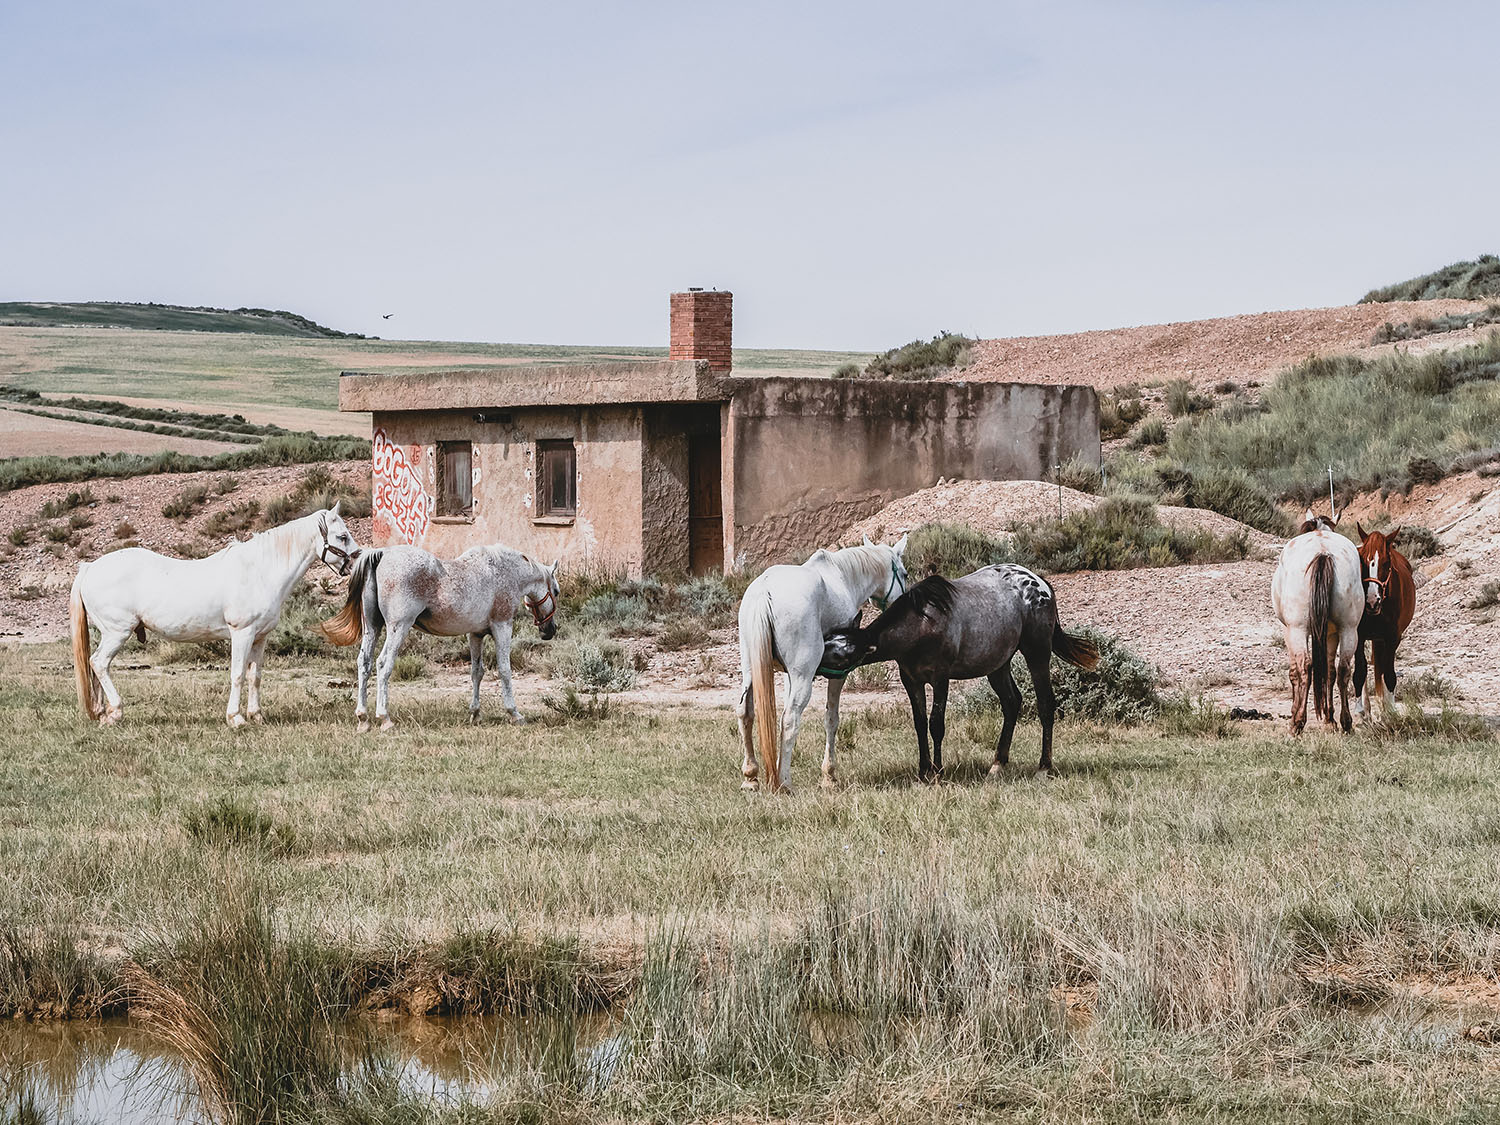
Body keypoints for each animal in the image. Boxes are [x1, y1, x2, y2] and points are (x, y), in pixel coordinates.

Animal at [70, 504, 363, 732]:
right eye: (342, 536)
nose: (355, 563)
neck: (260, 572)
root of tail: (90, 568)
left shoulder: (260, 638)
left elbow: (255, 676)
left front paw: (257, 715)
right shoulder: (242, 633)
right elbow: (237, 674)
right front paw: (236, 718)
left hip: (108, 634)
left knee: (96, 666)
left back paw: (102, 713)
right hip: (117, 632)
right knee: (99, 663)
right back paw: (116, 712)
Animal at [322, 543, 564, 732]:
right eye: (556, 591)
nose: (549, 630)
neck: (504, 571)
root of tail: (382, 553)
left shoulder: (475, 635)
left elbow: (477, 672)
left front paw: (475, 713)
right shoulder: (502, 627)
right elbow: (505, 671)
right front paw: (514, 713)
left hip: (372, 628)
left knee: (364, 663)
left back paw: (363, 718)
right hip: (398, 628)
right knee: (383, 664)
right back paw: (384, 718)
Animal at [735, 534, 906, 792]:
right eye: (904, 574)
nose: (902, 601)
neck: (842, 577)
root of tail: (764, 592)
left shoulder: (788, 676)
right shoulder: (838, 673)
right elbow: (831, 719)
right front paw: (829, 776)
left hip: (751, 671)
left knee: (746, 713)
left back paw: (751, 777)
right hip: (803, 678)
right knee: (790, 719)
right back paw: (784, 784)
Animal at [1272, 510, 1368, 735]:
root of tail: (1323, 553)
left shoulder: (1289, 631)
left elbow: (1294, 673)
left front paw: (1295, 714)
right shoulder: (1332, 633)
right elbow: (1329, 671)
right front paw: (1329, 719)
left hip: (1298, 630)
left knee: (1305, 667)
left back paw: (1298, 722)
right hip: (1349, 630)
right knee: (1343, 670)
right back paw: (1345, 722)